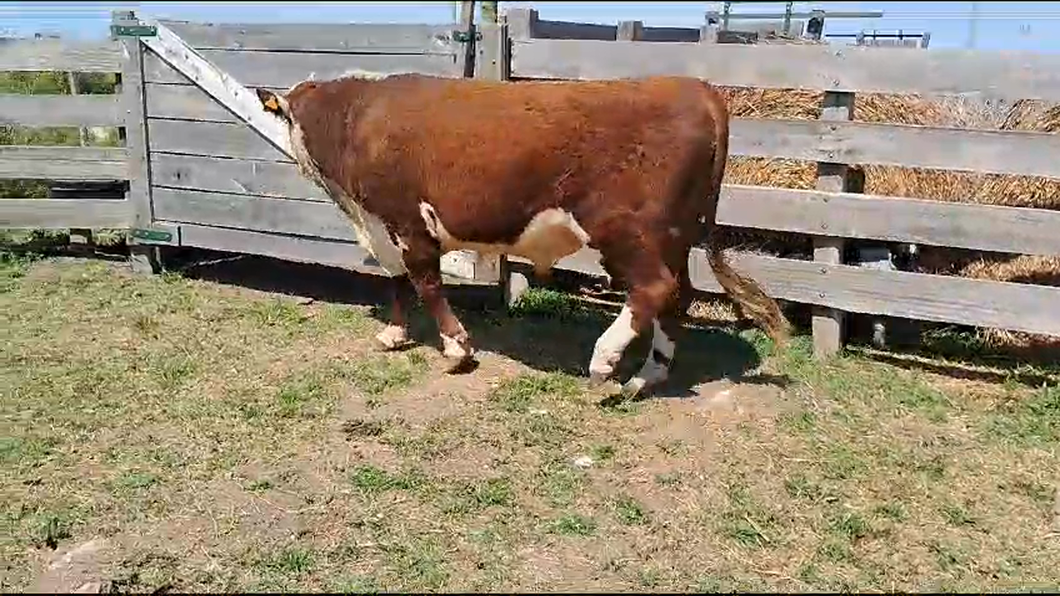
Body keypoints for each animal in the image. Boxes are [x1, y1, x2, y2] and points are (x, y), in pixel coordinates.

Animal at [254, 70, 788, 394]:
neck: (356, 118)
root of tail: (695, 88)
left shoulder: (406, 221)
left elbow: (425, 281)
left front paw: (456, 347)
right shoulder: (381, 226)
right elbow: (397, 280)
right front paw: (394, 333)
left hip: (626, 229)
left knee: (654, 288)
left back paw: (604, 361)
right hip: (673, 234)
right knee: (678, 295)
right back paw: (648, 376)